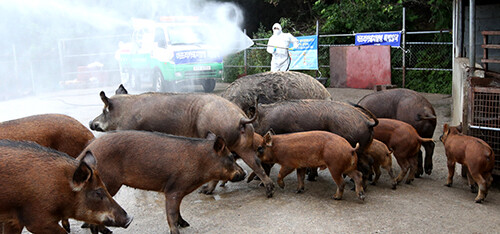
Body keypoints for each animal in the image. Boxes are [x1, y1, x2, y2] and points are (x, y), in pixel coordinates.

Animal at [77, 130, 247, 234]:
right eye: (231, 157)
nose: (244, 174)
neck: (201, 163)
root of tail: (85, 152)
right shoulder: (173, 189)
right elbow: (171, 213)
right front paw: (177, 231)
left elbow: (178, 210)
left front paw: (186, 224)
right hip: (108, 184)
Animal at [87, 84, 274, 197]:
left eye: (104, 111)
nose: (90, 122)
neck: (123, 113)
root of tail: (240, 118)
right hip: (245, 144)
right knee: (256, 163)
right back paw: (269, 190)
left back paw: (205, 191)